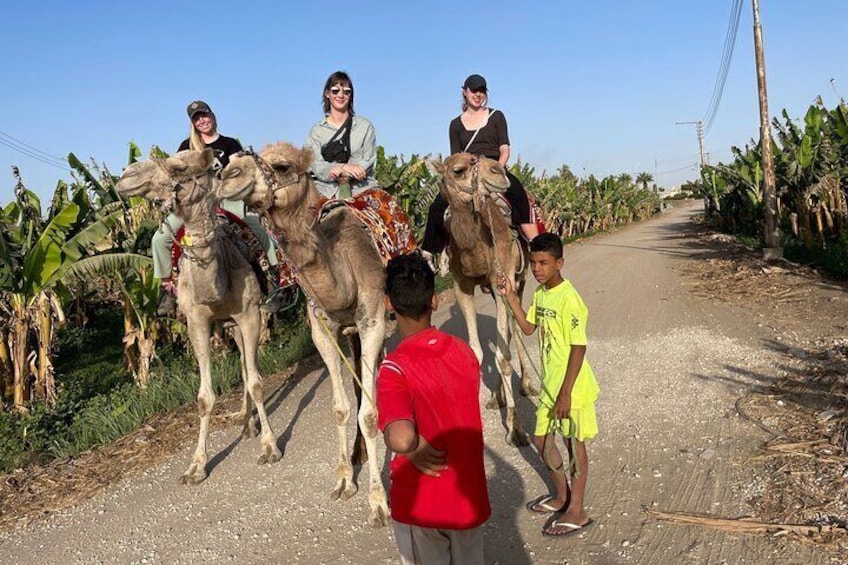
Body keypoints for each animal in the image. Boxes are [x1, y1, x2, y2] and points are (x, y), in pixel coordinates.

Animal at [116, 151, 280, 484]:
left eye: (179, 167)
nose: (126, 175)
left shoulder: (249, 314)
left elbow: (257, 383)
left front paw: (270, 447)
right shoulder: (196, 322)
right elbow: (205, 398)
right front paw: (196, 466)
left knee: (247, 369)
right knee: (242, 365)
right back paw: (246, 424)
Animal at [219, 143, 390, 528]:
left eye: (282, 166)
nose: (226, 174)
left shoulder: (373, 320)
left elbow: (370, 413)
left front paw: (379, 503)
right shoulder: (322, 331)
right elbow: (341, 408)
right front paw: (344, 480)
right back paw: (358, 453)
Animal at [434, 153, 532, 446]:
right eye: (458, 170)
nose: (498, 171)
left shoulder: (504, 277)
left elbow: (502, 356)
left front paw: (516, 429)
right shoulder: (462, 286)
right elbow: (477, 353)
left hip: (520, 280)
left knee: (514, 330)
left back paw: (526, 385)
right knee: (507, 332)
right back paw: (495, 397)